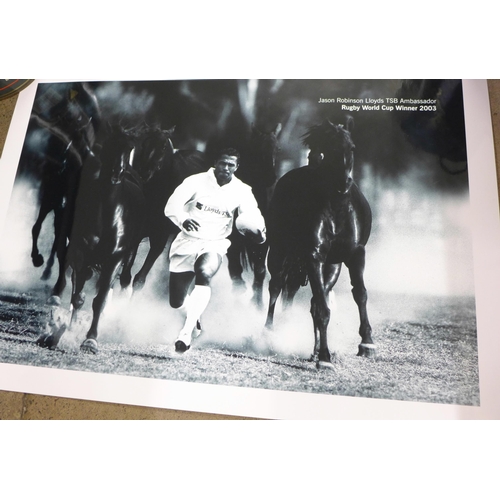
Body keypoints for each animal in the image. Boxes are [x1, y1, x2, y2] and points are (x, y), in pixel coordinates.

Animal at [36, 123, 146, 354]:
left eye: (131, 147)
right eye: (111, 144)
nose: (117, 172)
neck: (107, 214)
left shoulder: (115, 258)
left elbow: (100, 300)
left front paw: (90, 340)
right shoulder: (80, 252)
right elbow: (78, 296)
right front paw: (68, 331)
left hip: (129, 253)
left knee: (122, 279)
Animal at [264, 117, 374, 368]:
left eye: (352, 148)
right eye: (329, 149)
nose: (344, 183)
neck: (337, 210)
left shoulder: (354, 255)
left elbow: (359, 294)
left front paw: (366, 343)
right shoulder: (313, 256)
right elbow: (323, 309)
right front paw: (325, 357)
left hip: (330, 267)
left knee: (311, 298)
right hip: (278, 252)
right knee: (276, 287)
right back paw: (269, 333)